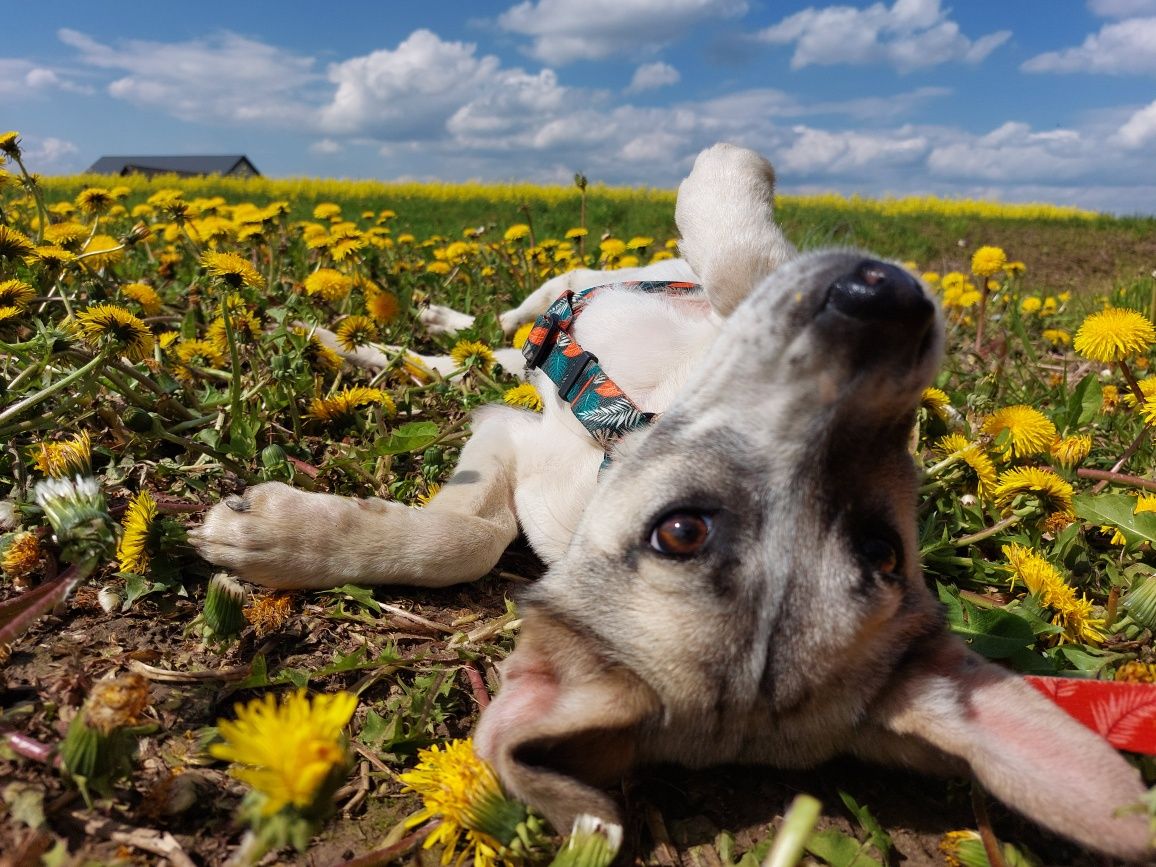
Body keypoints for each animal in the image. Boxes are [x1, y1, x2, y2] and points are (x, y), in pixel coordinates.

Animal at [194, 144, 1151, 864]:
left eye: (883, 550)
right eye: (683, 531)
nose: (892, 306)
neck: (627, 424)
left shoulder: (520, 435)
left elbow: (471, 535)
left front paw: (282, 533)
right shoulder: (530, 431)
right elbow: (743, 266)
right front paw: (294, 537)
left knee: (496, 351)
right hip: (553, 302)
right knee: (504, 324)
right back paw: (369, 334)